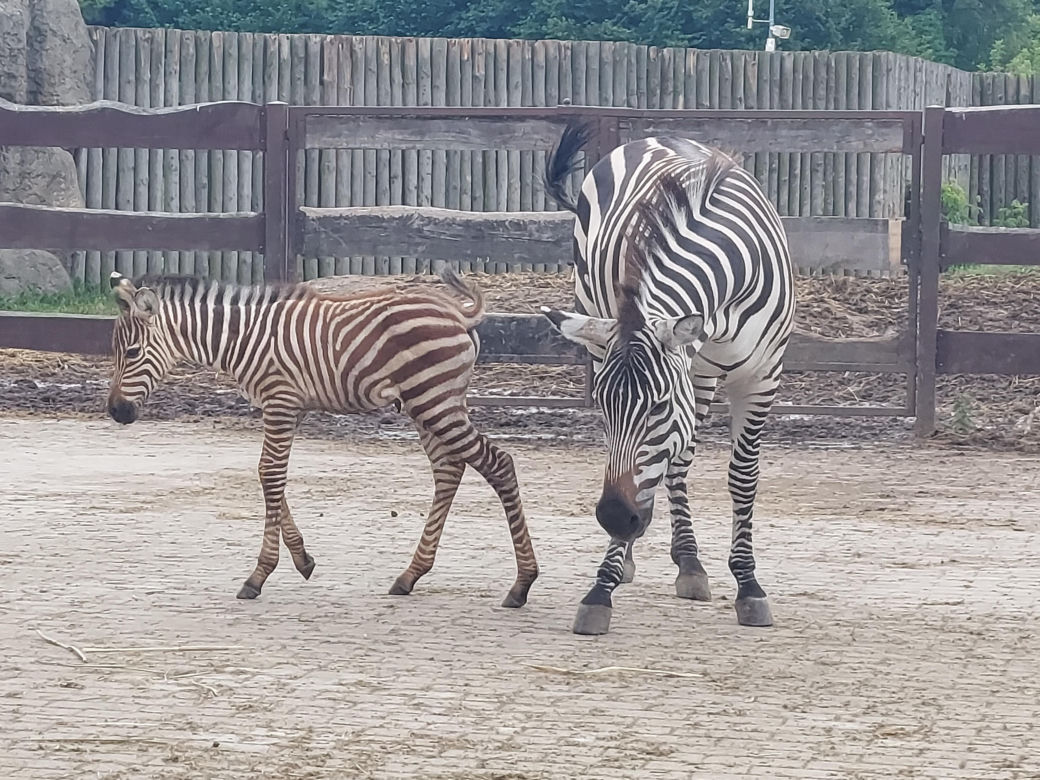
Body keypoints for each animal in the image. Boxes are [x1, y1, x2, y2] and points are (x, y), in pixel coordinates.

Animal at [106, 268, 539, 608]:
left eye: (132, 352)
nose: (116, 412)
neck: (242, 339)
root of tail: (456, 312)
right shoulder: (287, 407)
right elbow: (269, 475)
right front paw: (303, 560)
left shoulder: (280, 401)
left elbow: (270, 474)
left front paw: (259, 575)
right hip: (427, 405)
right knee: (449, 469)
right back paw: (410, 575)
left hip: (435, 401)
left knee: (498, 464)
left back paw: (521, 584)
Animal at [540, 122, 794, 635]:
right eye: (604, 406)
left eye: (657, 405)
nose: (615, 518)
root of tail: (654, 138)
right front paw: (603, 586)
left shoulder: (762, 376)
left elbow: (743, 477)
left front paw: (748, 585)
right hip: (601, 327)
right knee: (667, 463)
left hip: (700, 374)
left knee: (680, 458)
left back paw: (687, 561)